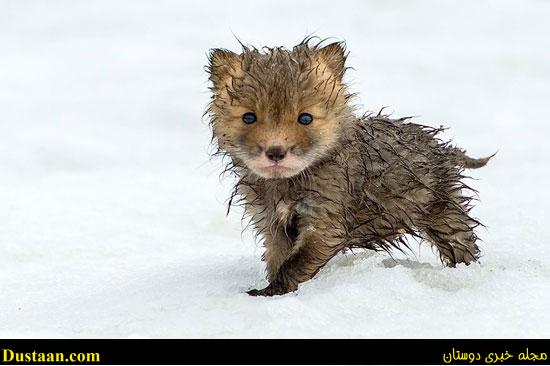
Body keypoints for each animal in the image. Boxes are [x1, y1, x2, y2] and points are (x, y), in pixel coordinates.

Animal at [205, 37, 494, 296]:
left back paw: (465, 273)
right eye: (248, 117)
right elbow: (277, 258)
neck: (286, 186)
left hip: (443, 208)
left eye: (305, 118)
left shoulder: (328, 217)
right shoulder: (269, 220)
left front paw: (271, 291)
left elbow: (296, 262)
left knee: (461, 240)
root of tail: (439, 146)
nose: (275, 152)